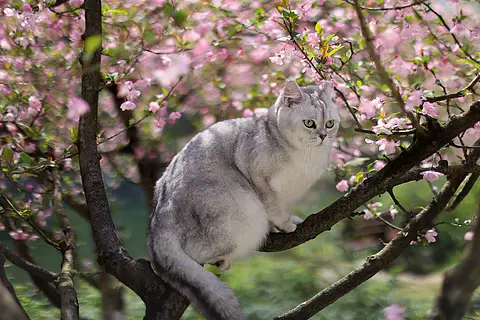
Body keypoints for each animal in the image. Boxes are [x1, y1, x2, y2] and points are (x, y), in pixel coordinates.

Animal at [148, 79, 340, 318]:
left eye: (330, 124)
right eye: (309, 124)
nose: (323, 136)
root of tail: (160, 214)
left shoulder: (285, 194)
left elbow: (279, 208)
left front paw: (279, 225)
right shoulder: (260, 178)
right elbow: (273, 207)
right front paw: (285, 224)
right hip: (241, 213)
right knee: (195, 252)